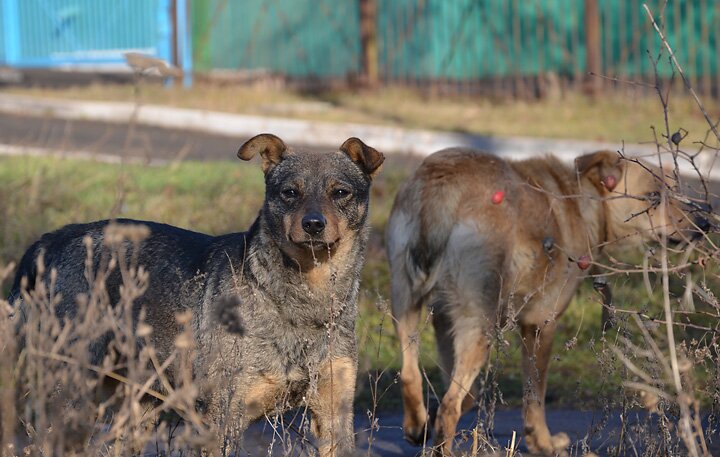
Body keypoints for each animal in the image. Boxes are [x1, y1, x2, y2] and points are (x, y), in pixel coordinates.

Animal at [9, 132, 382, 452]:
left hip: (136, 412)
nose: (314, 224)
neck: (306, 304)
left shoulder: (334, 416)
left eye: (340, 193)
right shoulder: (223, 417)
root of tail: (52, 238)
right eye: (290, 193)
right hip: (73, 396)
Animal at [386, 149, 700, 452]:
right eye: (654, 196)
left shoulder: (443, 320)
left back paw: (416, 425)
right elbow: (534, 396)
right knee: (449, 406)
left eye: (676, 191)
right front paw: (543, 444)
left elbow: (469, 395)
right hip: (479, 326)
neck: (584, 201)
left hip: (405, 305)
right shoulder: (540, 326)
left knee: (410, 374)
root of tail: (445, 186)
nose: (705, 224)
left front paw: (428, 422)